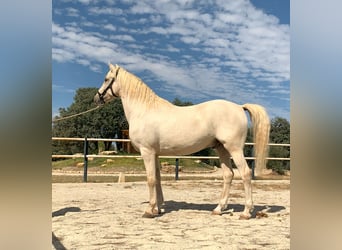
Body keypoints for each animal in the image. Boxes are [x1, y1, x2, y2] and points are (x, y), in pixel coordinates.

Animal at [94, 64, 270, 219]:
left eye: (106, 79)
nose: (97, 98)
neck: (144, 110)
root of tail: (239, 107)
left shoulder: (147, 152)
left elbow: (150, 179)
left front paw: (149, 210)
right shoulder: (155, 154)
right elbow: (158, 179)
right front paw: (157, 208)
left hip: (234, 149)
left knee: (245, 173)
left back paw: (246, 212)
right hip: (222, 149)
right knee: (228, 175)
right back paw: (218, 209)